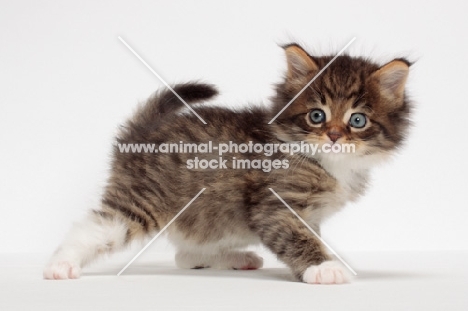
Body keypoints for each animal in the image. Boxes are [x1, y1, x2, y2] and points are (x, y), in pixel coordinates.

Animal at [43, 43, 410, 286]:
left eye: (357, 120)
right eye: (316, 116)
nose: (334, 136)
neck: (325, 161)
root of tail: (142, 132)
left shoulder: (309, 214)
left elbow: (313, 236)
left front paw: (329, 259)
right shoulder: (275, 205)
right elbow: (297, 238)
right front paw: (324, 268)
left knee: (185, 253)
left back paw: (234, 258)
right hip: (142, 202)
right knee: (95, 227)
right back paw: (60, 265)